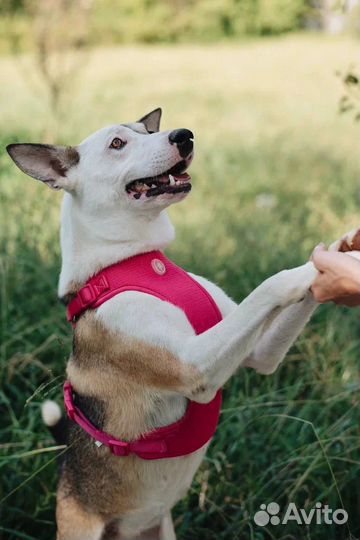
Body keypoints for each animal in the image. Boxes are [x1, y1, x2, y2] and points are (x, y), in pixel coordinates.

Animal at [7, 107, 356, 536]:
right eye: (117, 143)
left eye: (146, 130)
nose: (184, 135)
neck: (135, 260)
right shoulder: (195, 366)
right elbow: (271, 285)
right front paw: (316, 269)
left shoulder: (259, 352)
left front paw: (343, 248)